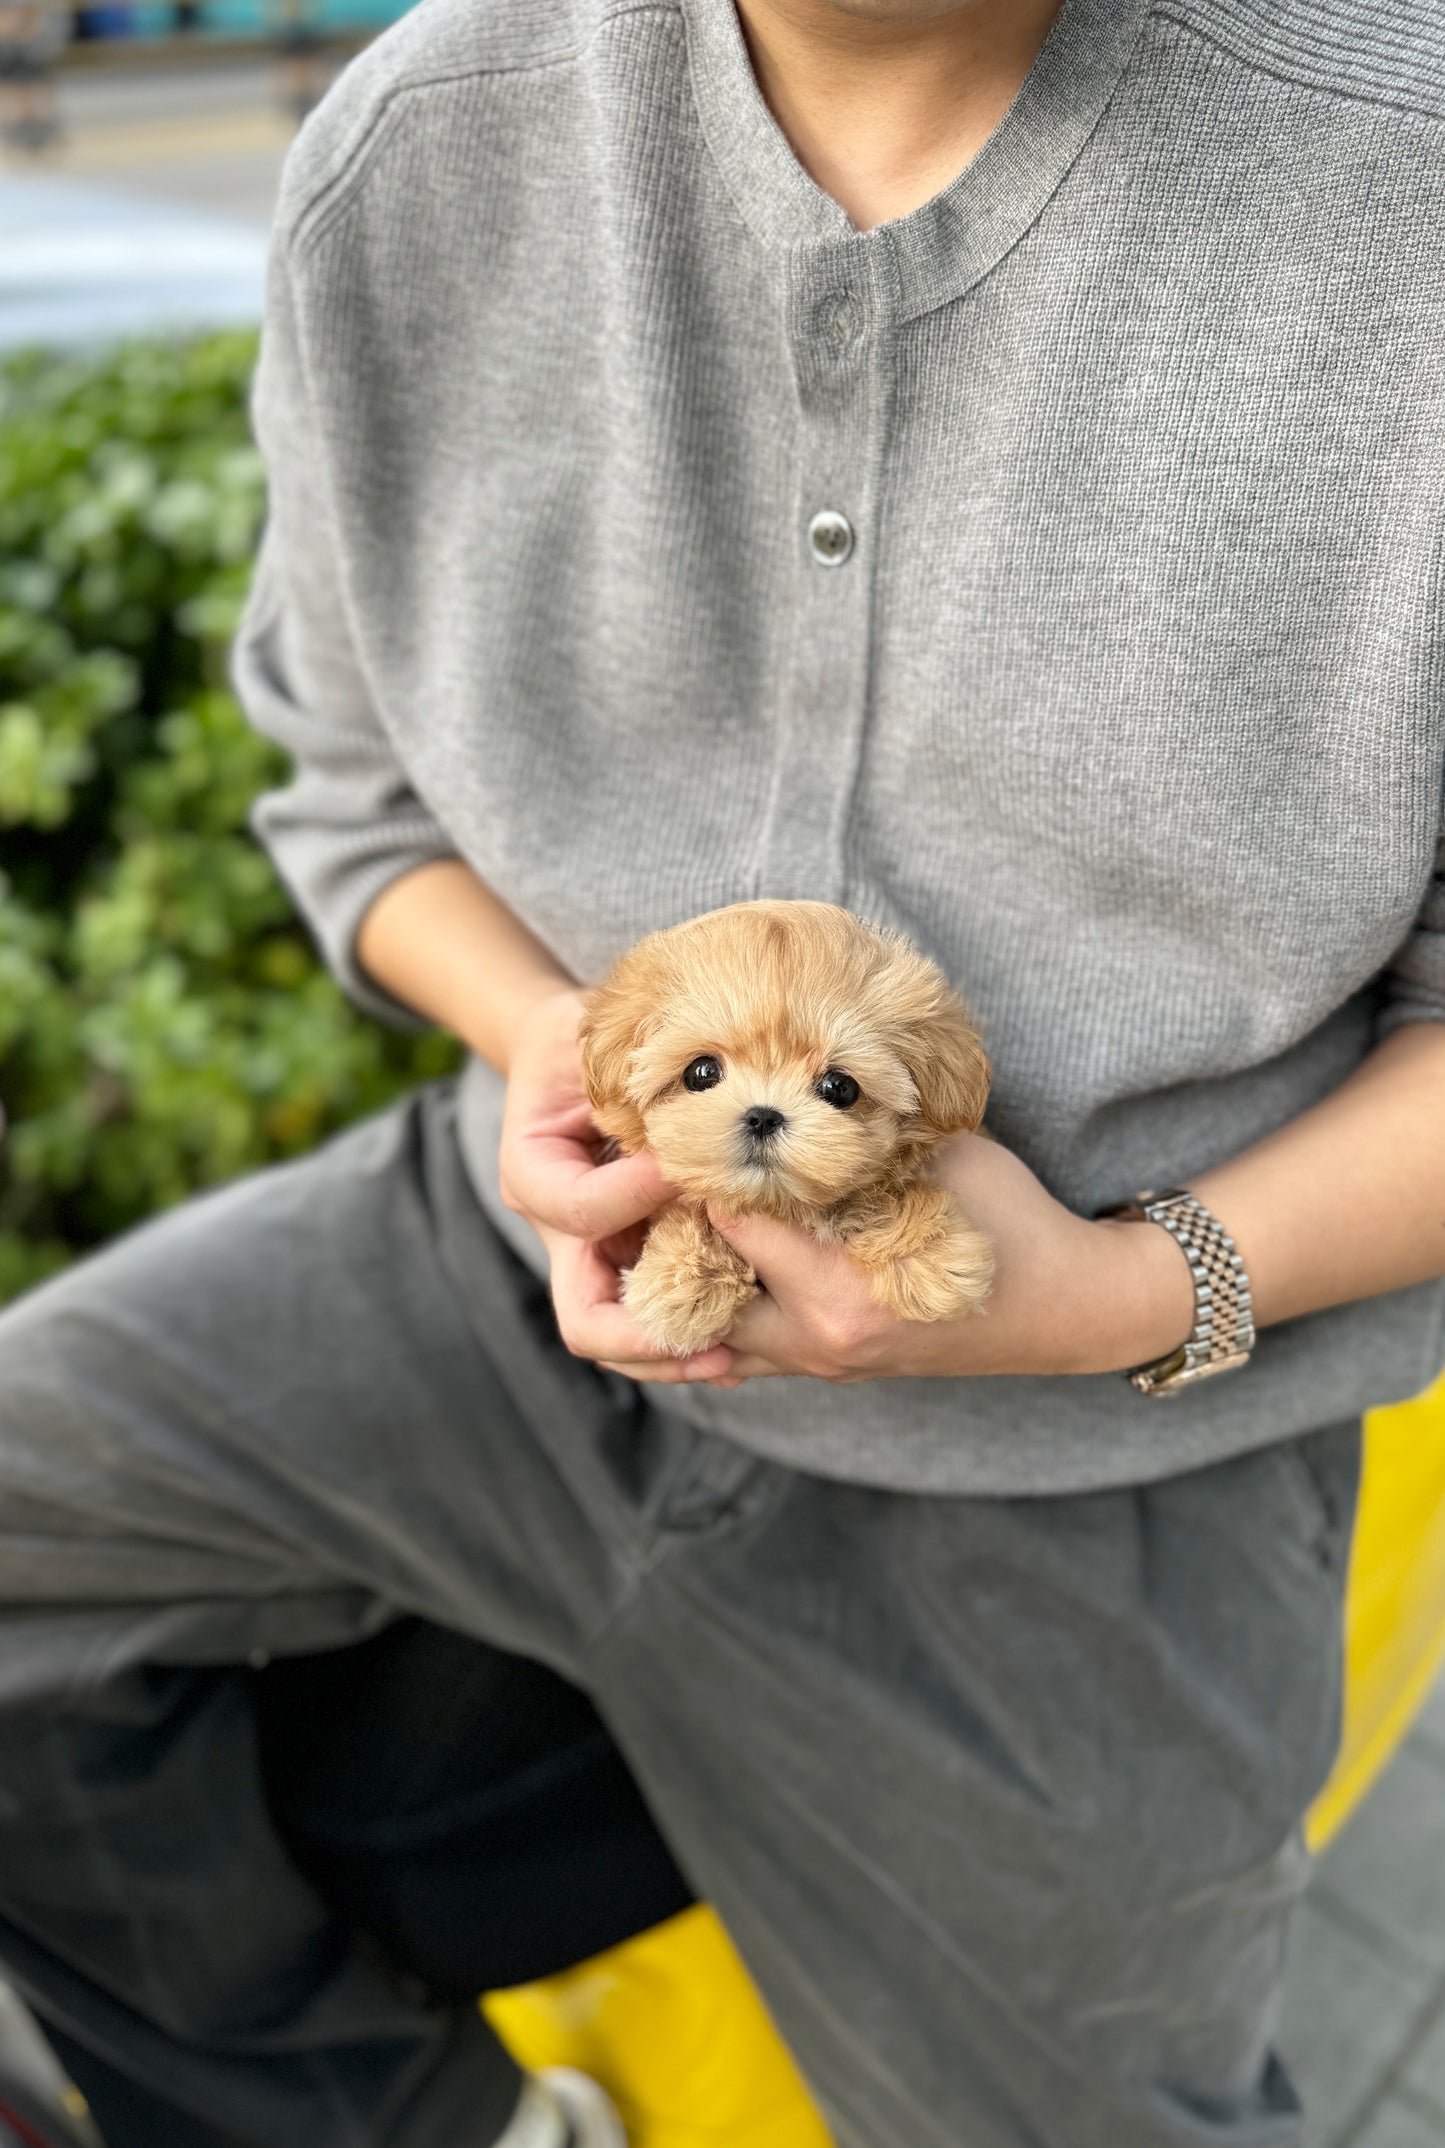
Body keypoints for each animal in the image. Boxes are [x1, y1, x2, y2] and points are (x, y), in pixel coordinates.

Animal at [575, 897, 991, 1348]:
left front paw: (929, 1253)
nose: (762, 1116)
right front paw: (686, 1278)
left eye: (839, 1087)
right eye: (701, 1072)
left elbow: (886, 1191)